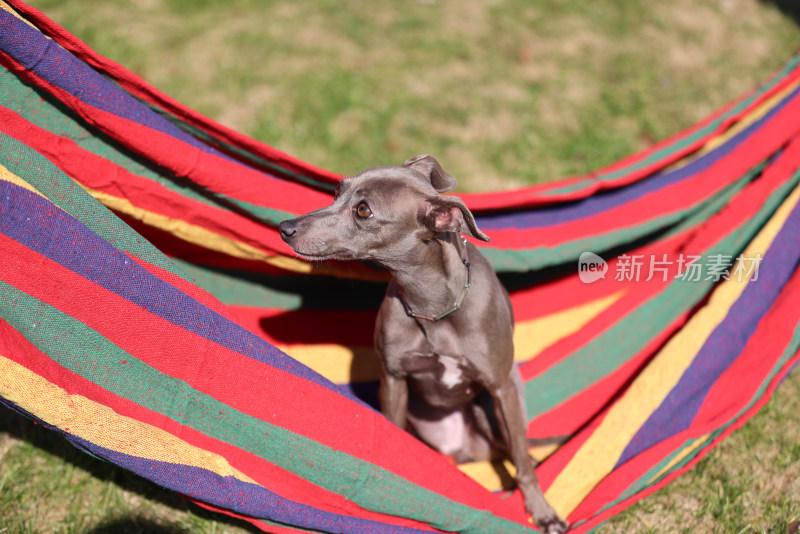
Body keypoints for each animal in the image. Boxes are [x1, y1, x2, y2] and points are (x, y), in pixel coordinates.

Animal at [282, 156, 568, 534]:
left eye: (363, 210)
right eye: (336, 191)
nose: (284, 227)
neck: (433, 306)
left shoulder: (500, 387)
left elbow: (522, 462)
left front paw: (542, 511)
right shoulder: (393, 380)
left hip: (495, 409)